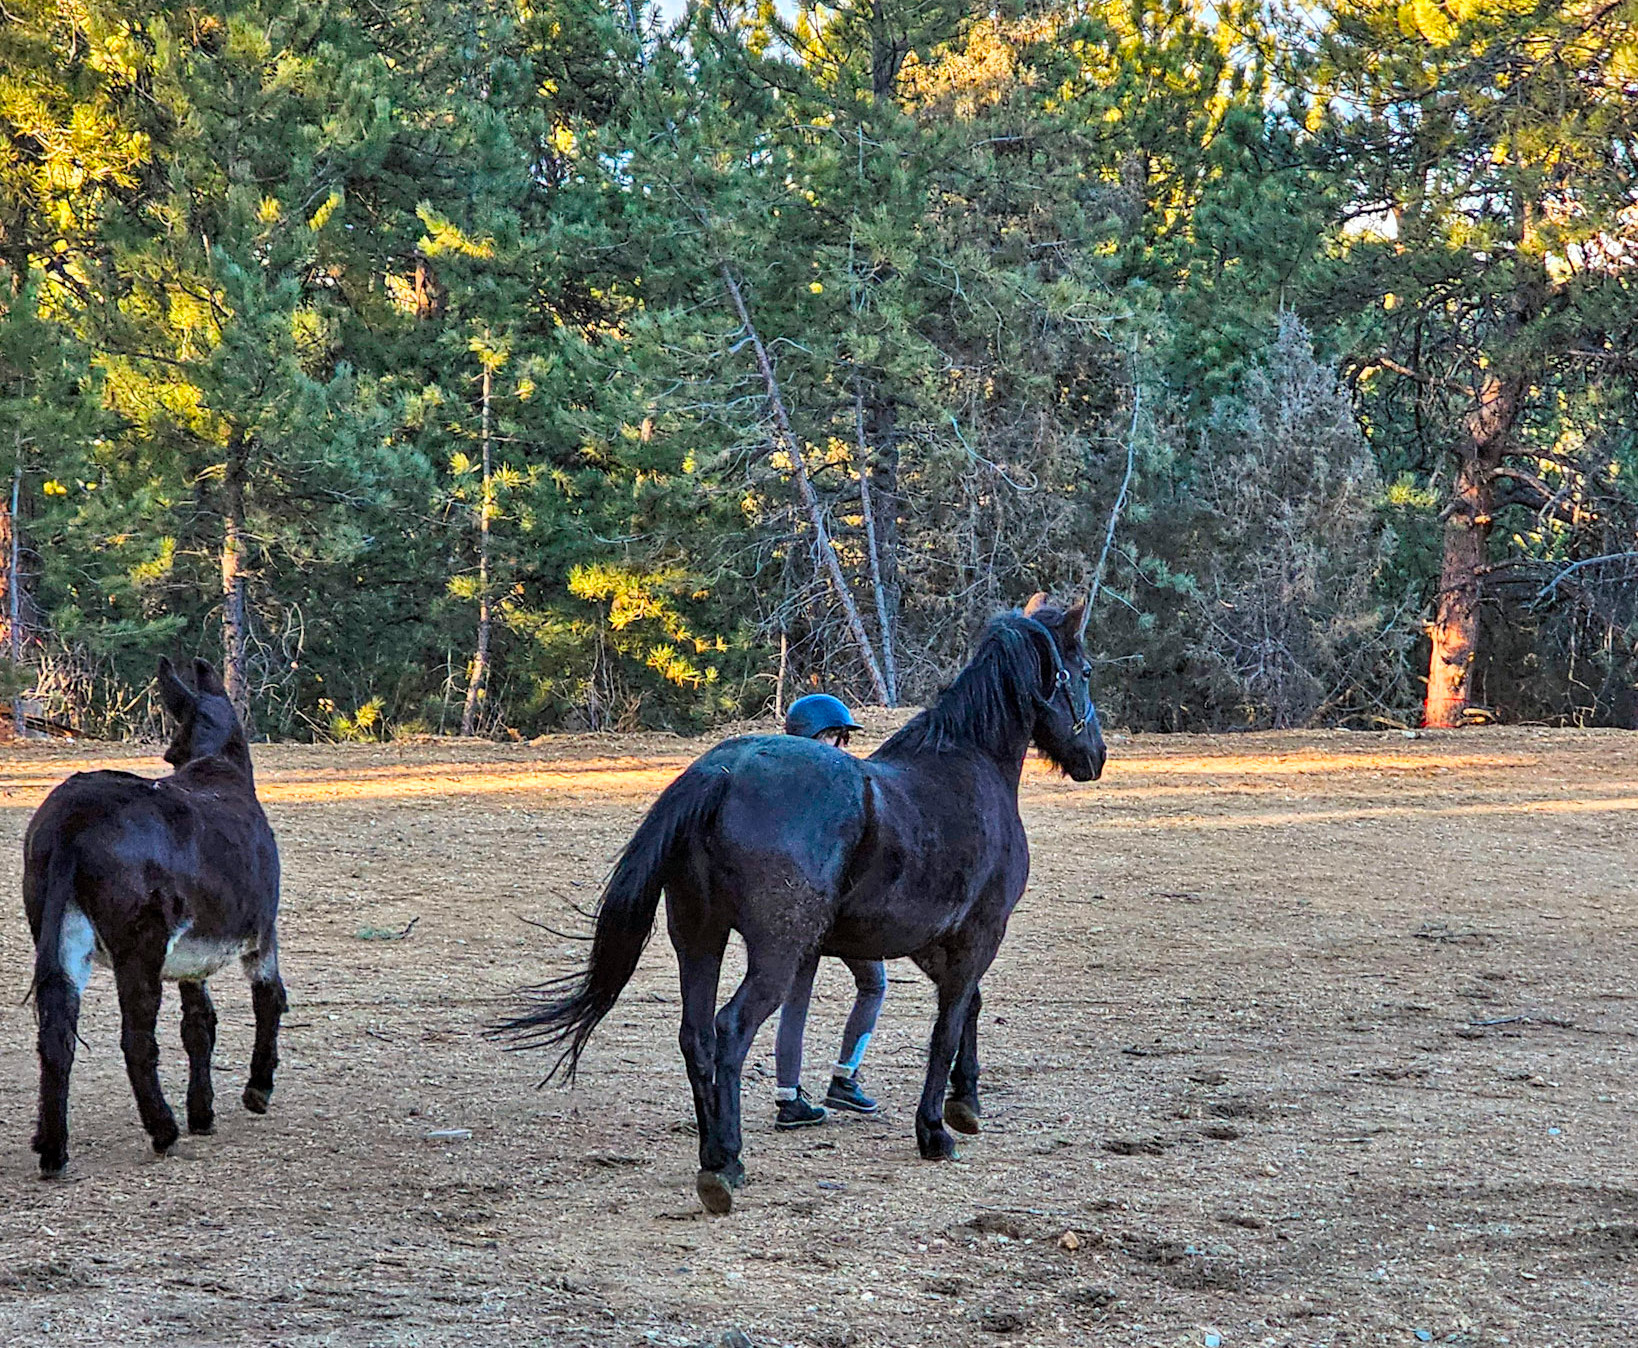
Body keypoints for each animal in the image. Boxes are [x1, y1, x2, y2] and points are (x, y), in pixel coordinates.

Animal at [23, 658, 285, 1172]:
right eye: (172, 755)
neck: (218, 766)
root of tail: (72, 817)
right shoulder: (262, 933)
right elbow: (270, 998)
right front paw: (257, 1090)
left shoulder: (191, 959)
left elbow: (199, 1024)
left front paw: (202, 1113)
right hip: (139, 945)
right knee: (136, 1040)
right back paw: (163, 1130)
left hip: (61, 936)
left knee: (56, 1033)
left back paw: (52, 1148)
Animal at [497, 592, 1107, 1212]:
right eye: (1083, 672)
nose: (1097, 756)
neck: (968, 765)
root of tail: (718, 774)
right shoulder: (978, 933)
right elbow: (948, 1024)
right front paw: (935, 1129)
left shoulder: (932, 942)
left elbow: (968, 1008)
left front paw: (966, 1102)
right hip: (775, 955)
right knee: (730, 1030)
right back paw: (724, 1162)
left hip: (699, 937)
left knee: (697, 1037)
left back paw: (716, 1151)